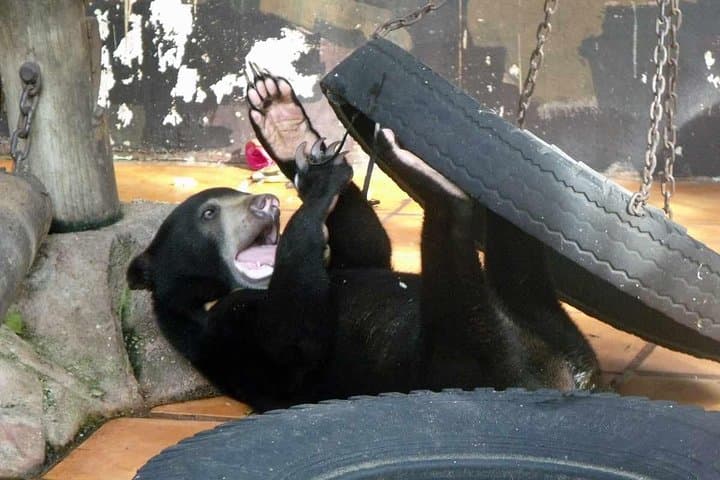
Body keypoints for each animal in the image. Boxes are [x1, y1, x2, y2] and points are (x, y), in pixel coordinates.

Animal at [127, 69, 600, 412]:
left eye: (237, 196)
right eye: (209, 213)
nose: (266, 203)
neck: (214, 293)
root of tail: (562, 379)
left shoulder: (343, 262)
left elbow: (369, 249)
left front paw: (287, 128)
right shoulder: (228, 336)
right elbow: (294, 336)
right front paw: (320, 187)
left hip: (545, 322)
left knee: (519, 265)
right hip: (466, 357)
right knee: (458, 273)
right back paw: (429, 179)